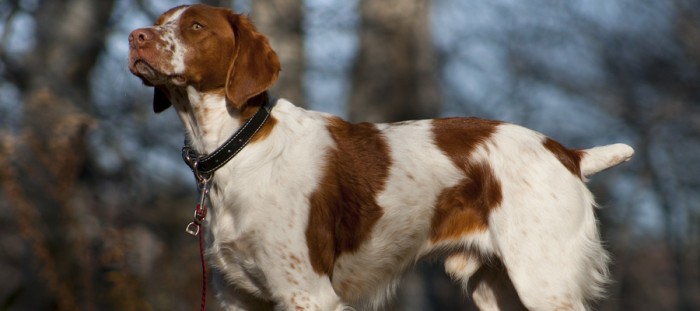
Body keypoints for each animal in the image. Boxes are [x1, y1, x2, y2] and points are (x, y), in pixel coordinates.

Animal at [127, 3, 636, 310]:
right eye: (161, 17)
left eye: (195, 26)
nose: (135, 37)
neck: (237, 149)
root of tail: (566, 152)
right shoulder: (237, 294)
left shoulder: (307, 292)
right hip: (497, 286)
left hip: (544, 279)